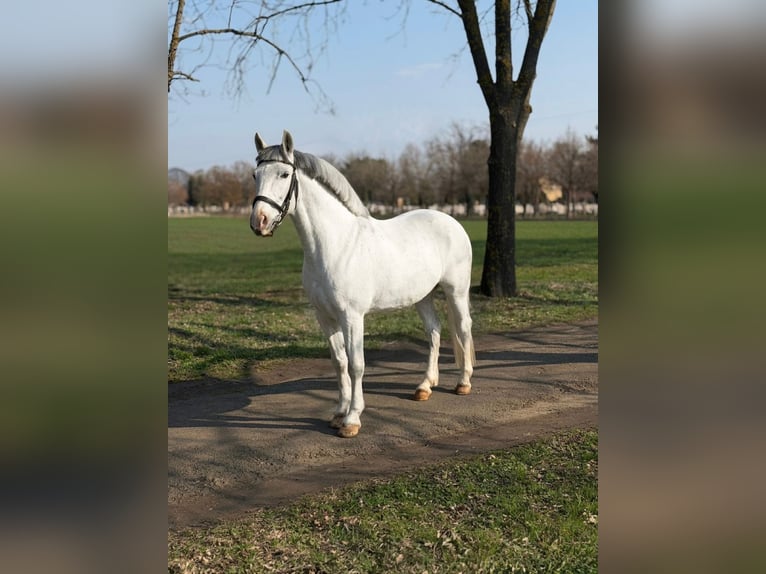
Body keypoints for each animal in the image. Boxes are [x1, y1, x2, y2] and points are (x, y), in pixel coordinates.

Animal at [250, 130, 475, 438]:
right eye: (255, 175)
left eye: (284, 174)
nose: (258, 221)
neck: (335, 244)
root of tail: (451, 221)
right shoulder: (325, 317)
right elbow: (339, 362)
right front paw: (338, 412)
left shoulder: (352, 317)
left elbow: (357, 364)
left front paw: (352, 419)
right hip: (423, 296)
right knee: (434, 331)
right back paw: (424, 386)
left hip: (456, 291)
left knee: (463, 329)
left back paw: (463, 383)